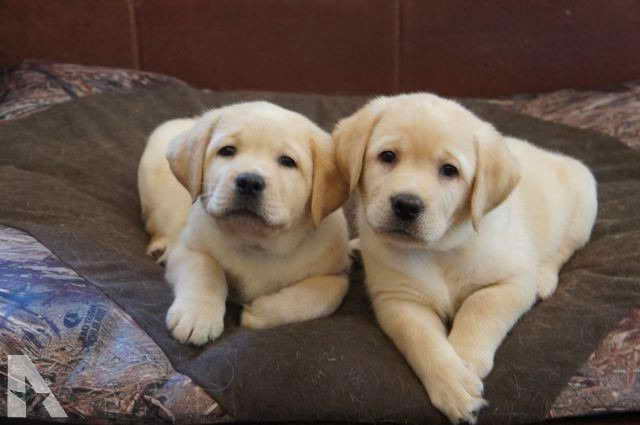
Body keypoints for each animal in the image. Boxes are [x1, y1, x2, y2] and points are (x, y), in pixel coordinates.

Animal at [139, 102, 350, 344]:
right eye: (227, 151)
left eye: (288, 161)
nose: (249, 182)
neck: (255, 242)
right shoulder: (187, 249)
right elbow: (206, 269)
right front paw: (197, 315)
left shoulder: (337, 275)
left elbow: (320, 296)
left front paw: (260, 311)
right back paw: (159, 246)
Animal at [332, 94, 596, 422]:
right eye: (387, 156)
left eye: (449, 170)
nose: (406, 204)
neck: (439, 249)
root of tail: (546, 152)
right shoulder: (399, 299)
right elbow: (422, 339)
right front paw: (452, 382)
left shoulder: (510, 282)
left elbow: (479, 308)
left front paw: (466, 360)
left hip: (584, 201)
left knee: (564, 249)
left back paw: (544, 278)